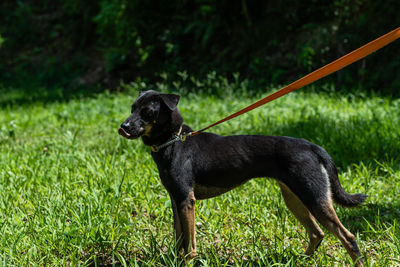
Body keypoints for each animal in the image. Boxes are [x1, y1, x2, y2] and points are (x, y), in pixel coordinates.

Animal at [117, 91, 368, 266]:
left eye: (147, 112)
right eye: (132, 108)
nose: (123, 127)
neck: (174, 141)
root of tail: (313, 147)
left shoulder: (186, 200)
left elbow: (190, 244)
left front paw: (186, 262)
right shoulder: (176, 199)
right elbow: (179, 238)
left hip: (314, 198)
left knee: (348, 238)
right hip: (294, 198)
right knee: (317, 233)